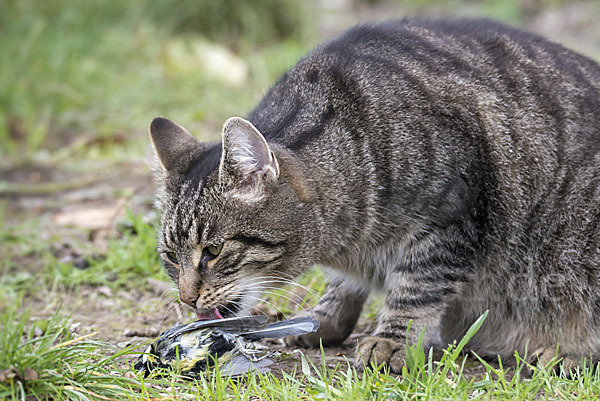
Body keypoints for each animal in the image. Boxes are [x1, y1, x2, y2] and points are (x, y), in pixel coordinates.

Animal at [149, 18, 600, 372]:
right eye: (170, 256)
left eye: (213, 251)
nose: (187, 298)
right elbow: (342, 286)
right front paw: (325, 320)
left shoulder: (452, 215)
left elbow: (415, 288)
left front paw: (393, 340)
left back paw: (566, 354)